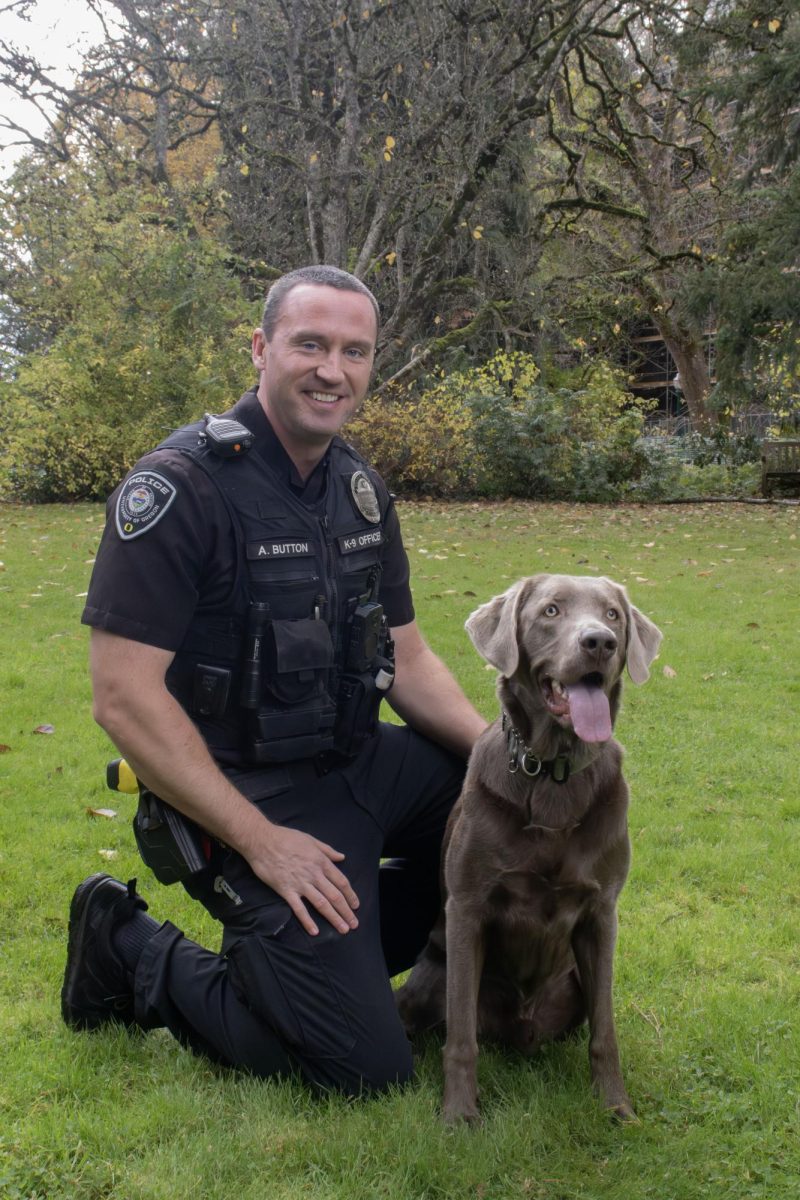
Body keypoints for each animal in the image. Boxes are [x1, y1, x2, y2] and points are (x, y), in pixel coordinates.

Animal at [395, 576, 662, 1118]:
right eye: (551, 610)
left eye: (613, 614)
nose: (599, 642)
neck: (553, 774)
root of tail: (519, 1030)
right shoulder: (468, 907)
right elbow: (460, 1038)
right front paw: (458, 1115)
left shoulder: (602, 912)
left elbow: (606, 1030)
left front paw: (616, 1109)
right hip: (432, 976)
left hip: (574, 982)